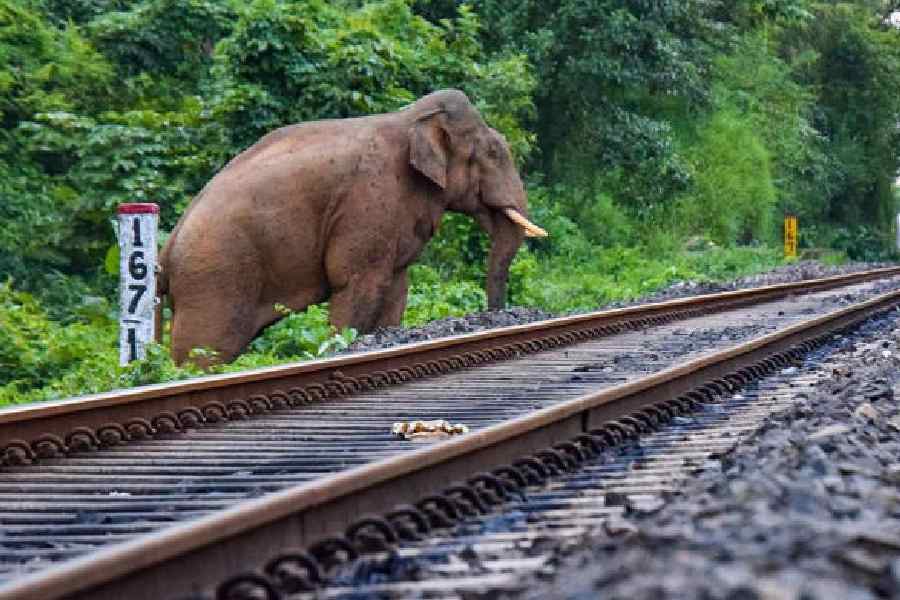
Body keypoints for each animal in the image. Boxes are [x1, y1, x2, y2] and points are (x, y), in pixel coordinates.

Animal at [158, 89, 546, 365]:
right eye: (493, 153)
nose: (498, 315)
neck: (410, 117)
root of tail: (168, 247)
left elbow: (396, 286)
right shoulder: (368, 202)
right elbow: (357, 282)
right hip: (214, 280)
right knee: (203, 353)